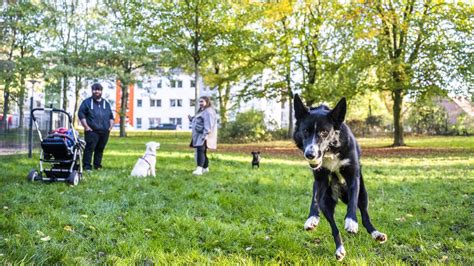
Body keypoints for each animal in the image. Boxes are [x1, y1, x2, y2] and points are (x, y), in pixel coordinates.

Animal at [292, 94, 388, 260]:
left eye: (324, 132)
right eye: (305, 131)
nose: (310, 154)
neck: (331, 151)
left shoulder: (353, 177)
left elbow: (353, 203)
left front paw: (351, 221)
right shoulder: (320, 179)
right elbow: (315, 198)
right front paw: (312, 218)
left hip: (364, 194)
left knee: (365, 216)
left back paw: (376, 234)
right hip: (327, 202)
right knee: (334, 227)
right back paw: (339, 249)